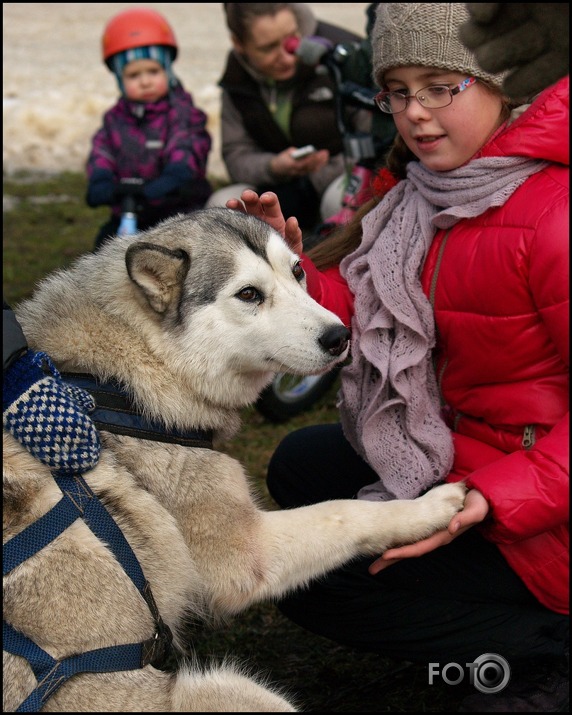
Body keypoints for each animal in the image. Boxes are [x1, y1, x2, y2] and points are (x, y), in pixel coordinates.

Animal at [3, 207, 464, 712]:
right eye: (248, 294)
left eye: (297, 270)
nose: (341, 335)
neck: (117, 382)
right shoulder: (249, 555)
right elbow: (347, 512)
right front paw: (430, 509)